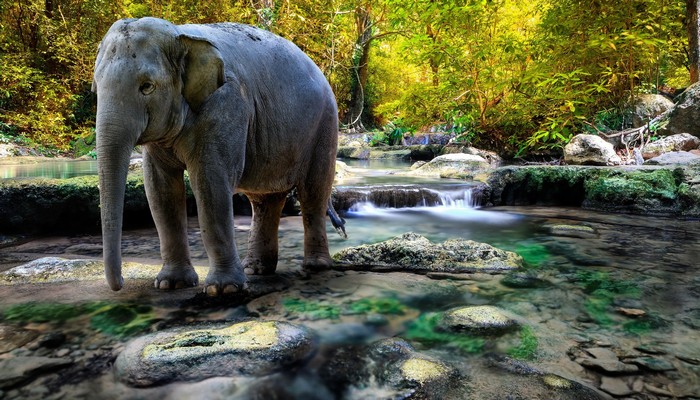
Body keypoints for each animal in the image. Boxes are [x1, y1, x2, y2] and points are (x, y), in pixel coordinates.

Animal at [93, 17, 344, 296]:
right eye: (96, 87)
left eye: (147, 87)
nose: (120, 284)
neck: (180, 35)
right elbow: (160, 191)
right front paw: (170, 284)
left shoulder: (226, 105)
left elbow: (210, 182)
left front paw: (223, 290)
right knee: (265, 200)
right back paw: (255, 269)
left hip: (325, 125)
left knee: (313, 192)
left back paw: (315, 267)